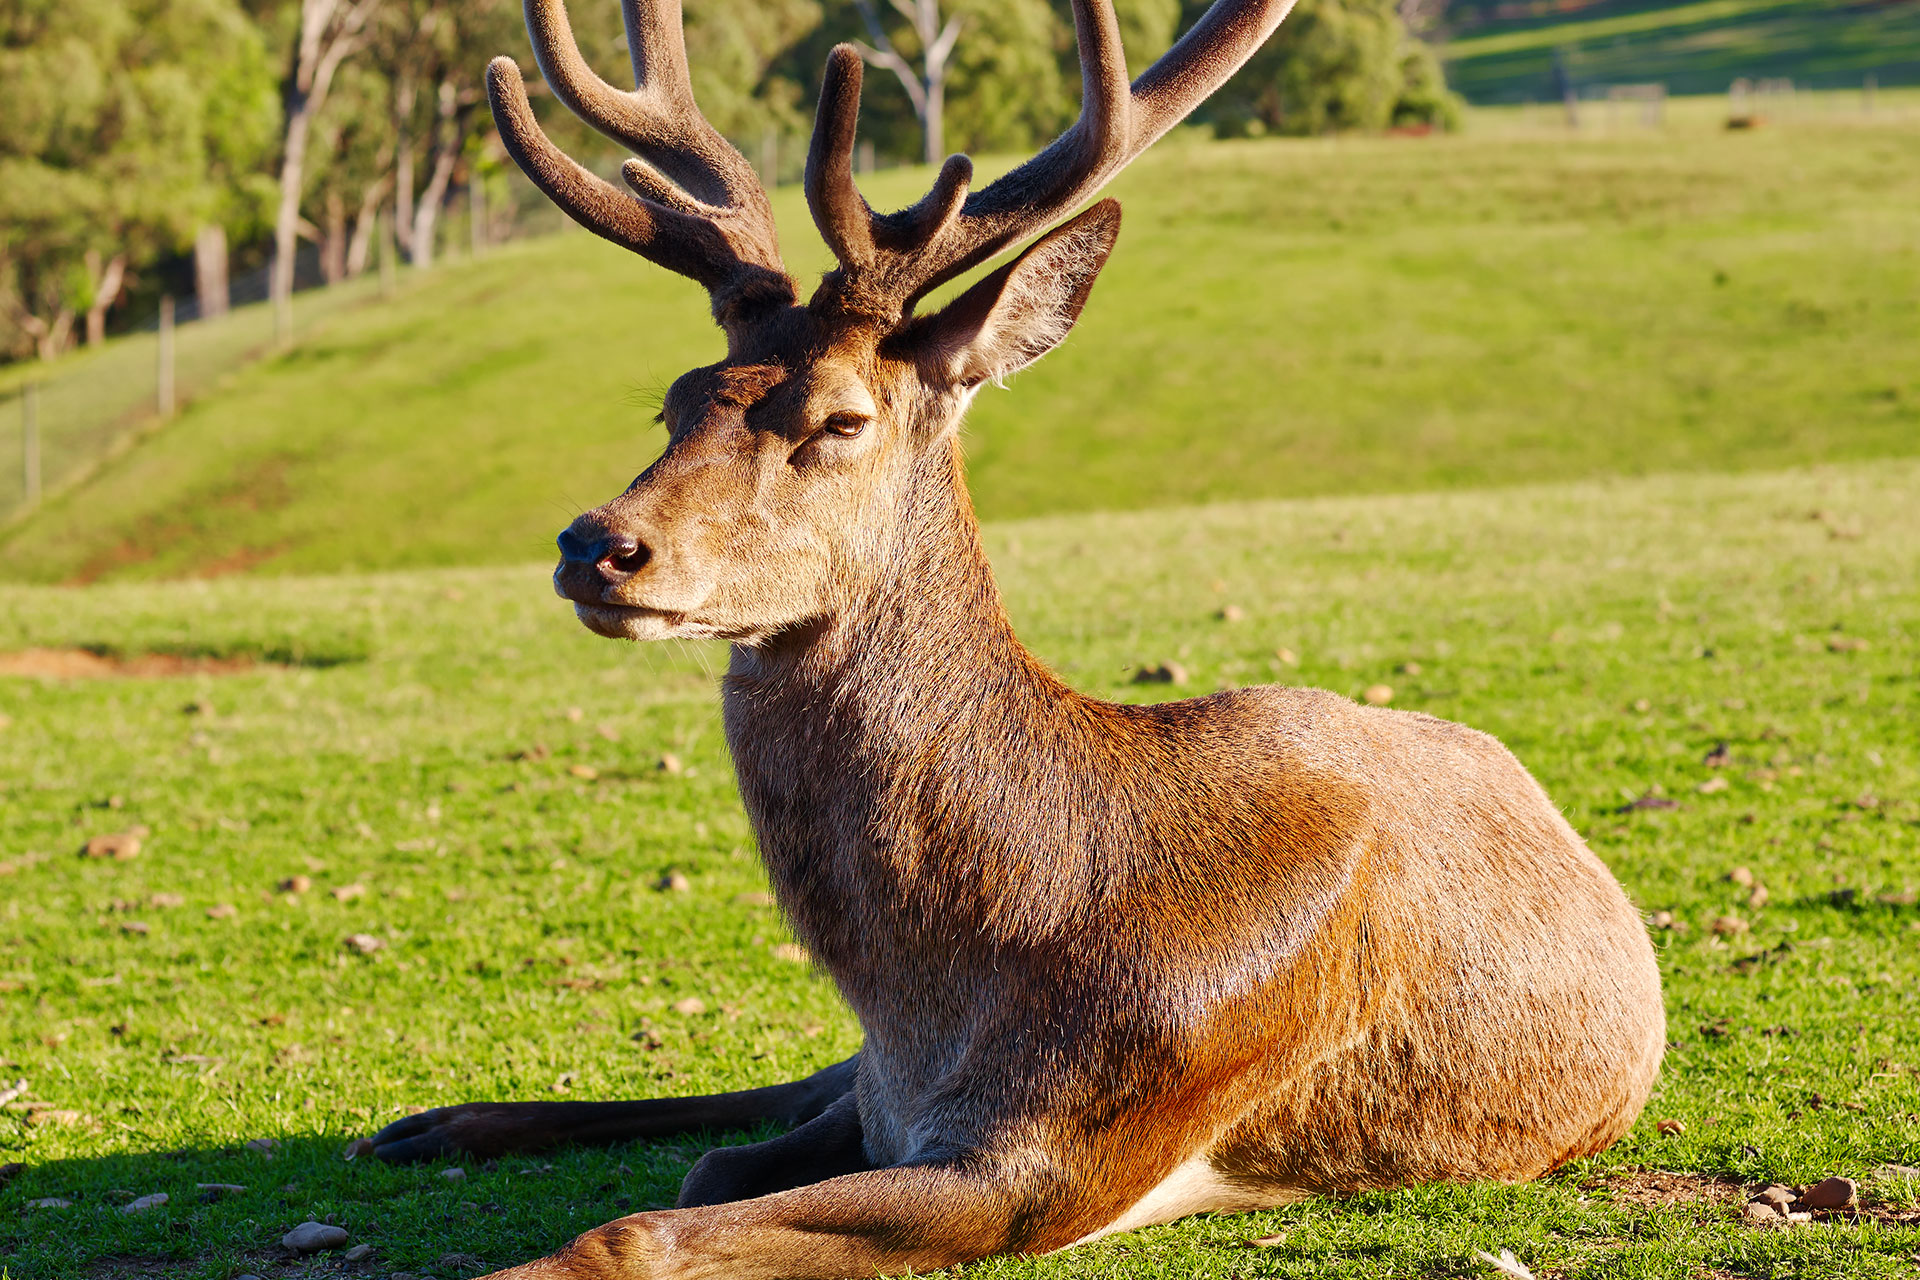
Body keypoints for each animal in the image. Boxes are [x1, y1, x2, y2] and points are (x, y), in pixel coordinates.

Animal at [365, 0, 1668, 1275]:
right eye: (676, 399)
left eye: (840, 418)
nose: (598, 544)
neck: (949, 977)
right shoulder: (896, 1101)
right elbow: (709, 1165)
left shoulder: (1060, 1151)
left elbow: (643, 1223)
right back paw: (431, 1122)